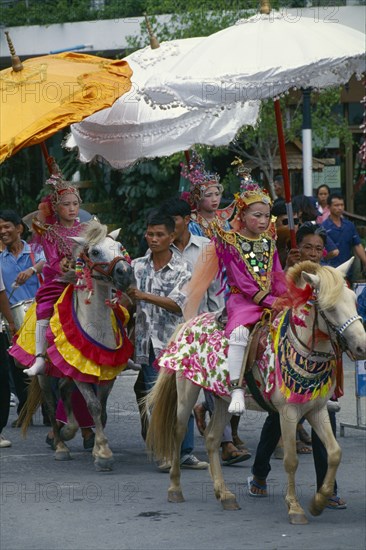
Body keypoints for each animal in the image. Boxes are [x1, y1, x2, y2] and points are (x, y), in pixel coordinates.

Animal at [146, 262, 366, 528]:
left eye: (354, 300)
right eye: (330, 307)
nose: (362, 347)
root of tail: (187, 323)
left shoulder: (317, 410)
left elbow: (334, 453)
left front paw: (320, 501)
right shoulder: (288, 413)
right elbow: (291, 460)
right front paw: (295, 508)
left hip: (221, 398)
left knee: (212, 438)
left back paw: (225, 494)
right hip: (187, 389)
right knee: (178, 431)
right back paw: (175, 488)